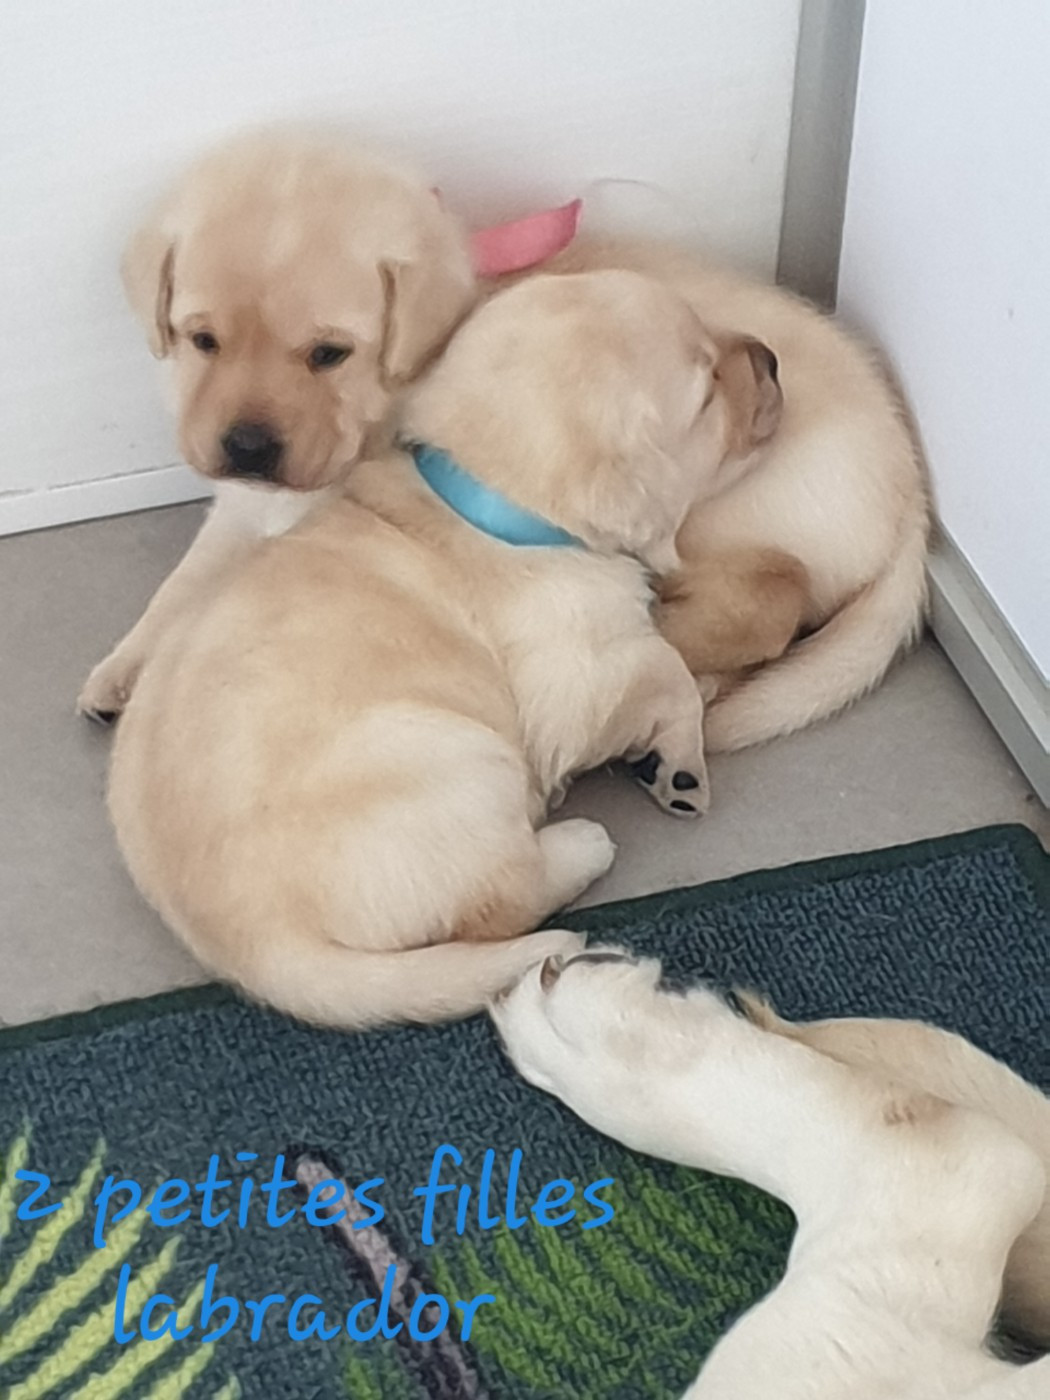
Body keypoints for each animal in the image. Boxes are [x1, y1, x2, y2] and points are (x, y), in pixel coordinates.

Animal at [105, 269, 782, 1029]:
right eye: (706, 390)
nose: (771, 358)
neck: (490, 503)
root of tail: (256, 949)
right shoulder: (578, 676)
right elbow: (666, 669)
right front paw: (681, 765)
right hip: (460, 754)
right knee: (501, 899)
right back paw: (578, 846)